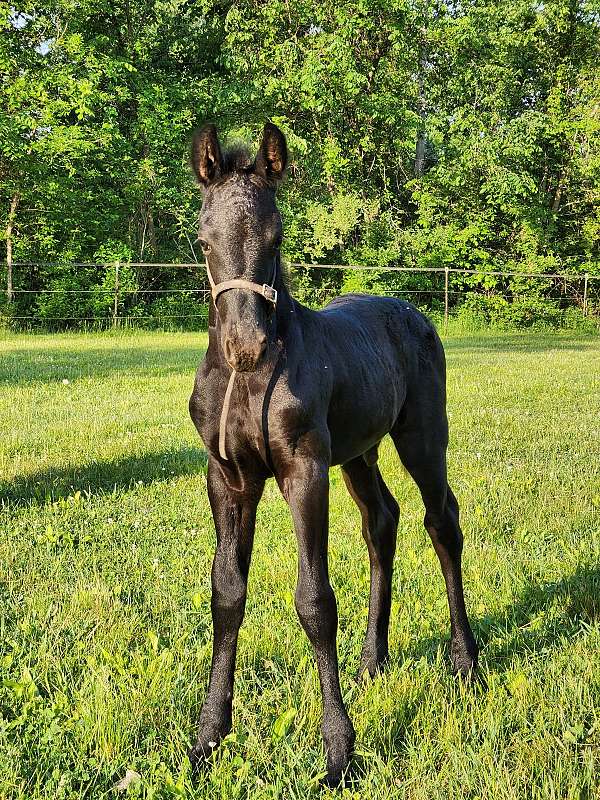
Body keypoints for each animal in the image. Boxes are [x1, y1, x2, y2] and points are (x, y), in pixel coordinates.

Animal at [188, 122, 478, 784]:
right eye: (204, 238)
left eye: (276, 236)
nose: (245, 345)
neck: (249, 381)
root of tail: (411, 309)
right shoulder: (228, 477)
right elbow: (227, 594)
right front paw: (209, 737)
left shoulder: (305, 469)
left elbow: (315, 600)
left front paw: (339, 750)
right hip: (358, 454)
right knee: (383, 521)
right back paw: (374, 659)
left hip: (422, 438)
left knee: (441, 521)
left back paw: (466, 662)